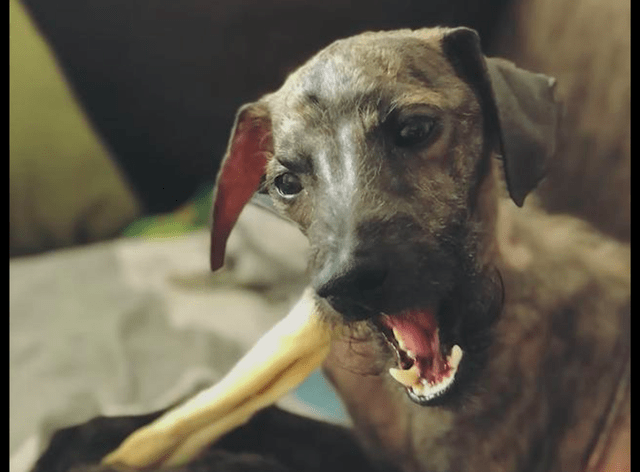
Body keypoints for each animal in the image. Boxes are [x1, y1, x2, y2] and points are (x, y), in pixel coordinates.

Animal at [33, 27, 629, 472]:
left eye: (416, 129)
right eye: (285, 182)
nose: (345, 286)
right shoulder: (370, 450)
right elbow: (264, 421)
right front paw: (91, 434)